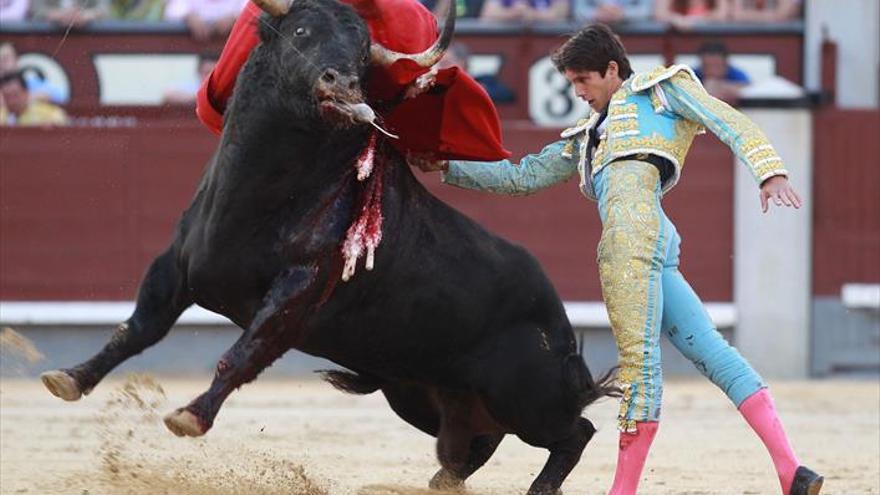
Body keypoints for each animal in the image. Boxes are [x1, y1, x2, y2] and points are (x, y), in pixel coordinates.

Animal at [39, 1, 620, 494]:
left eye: (363, 50)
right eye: (300, 32)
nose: (343, 81)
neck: (255, 194)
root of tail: (558, 320)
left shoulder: (298, 293)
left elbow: (240, 354)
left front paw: (190, 416)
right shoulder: (177, 265)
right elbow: (136, 329)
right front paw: (70, 378)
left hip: (526, 397)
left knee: (576, 432)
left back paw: (534, 486)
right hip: (420, 394)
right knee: (475, 444)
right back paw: (439, 482)